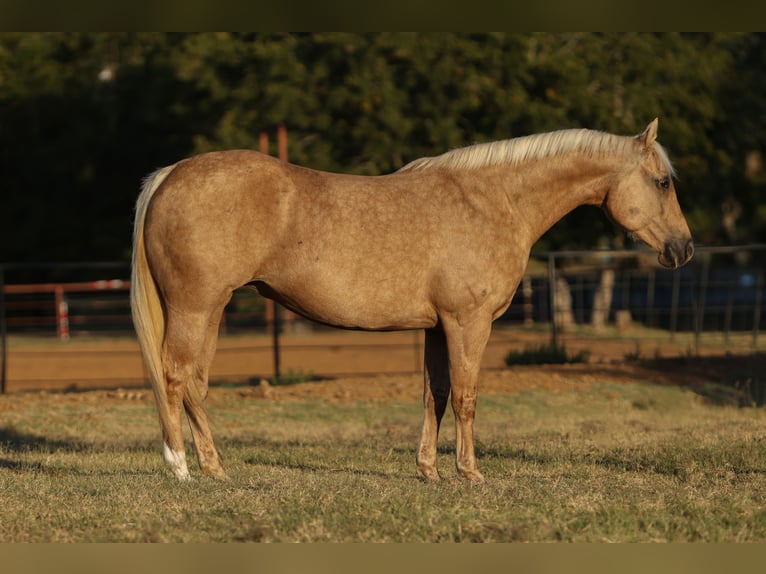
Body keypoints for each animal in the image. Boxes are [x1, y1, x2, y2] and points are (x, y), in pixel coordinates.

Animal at [131, 118, 693, 483]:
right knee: (176, 378)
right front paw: (470, 474)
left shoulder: (437, 326)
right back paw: (180, 469)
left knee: (195, 384)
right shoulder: (468, 322)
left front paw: (429, 471)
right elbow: (466, 396)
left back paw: (215, 468)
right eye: (663, 182)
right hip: (196, 308)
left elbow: (435, 394)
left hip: (211, 310)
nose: (683, 248)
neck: (494, 200)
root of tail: (170, 174)